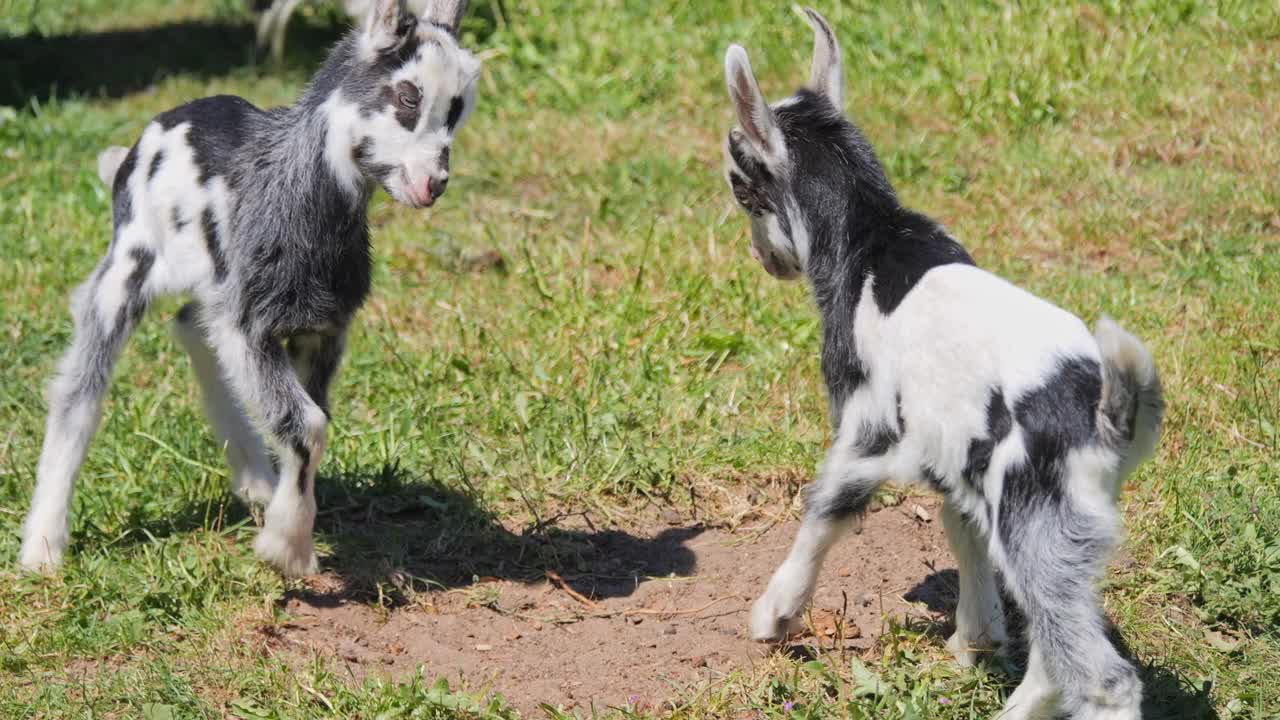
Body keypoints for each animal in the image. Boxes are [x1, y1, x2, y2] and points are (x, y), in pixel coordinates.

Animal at [20, 0, 481, 573]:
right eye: (408, 96)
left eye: (458, 107)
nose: (433, 183)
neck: (291, 191)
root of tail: (137, 146)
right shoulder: (250, 323)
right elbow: (307, 424)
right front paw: (289, 547)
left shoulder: (321, 328)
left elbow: (307, 421)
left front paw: (285, 519)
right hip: (127, 268)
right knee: (79, 388)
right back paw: (43, 545)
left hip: (213, 286)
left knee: (192, 326)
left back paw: (255, 480)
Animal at [727, 9, 1167, 717]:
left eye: (739, 183)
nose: (765, 261)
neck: (871, 236)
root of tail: (1109, 415)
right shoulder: (955, 450)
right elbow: (961, 533)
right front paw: (975, 641)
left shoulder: (866, 426)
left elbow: (825, 511)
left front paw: (776, 613)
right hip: (1052, 531)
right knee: (1056, 646)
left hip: (1035, 520)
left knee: (1101, 676)